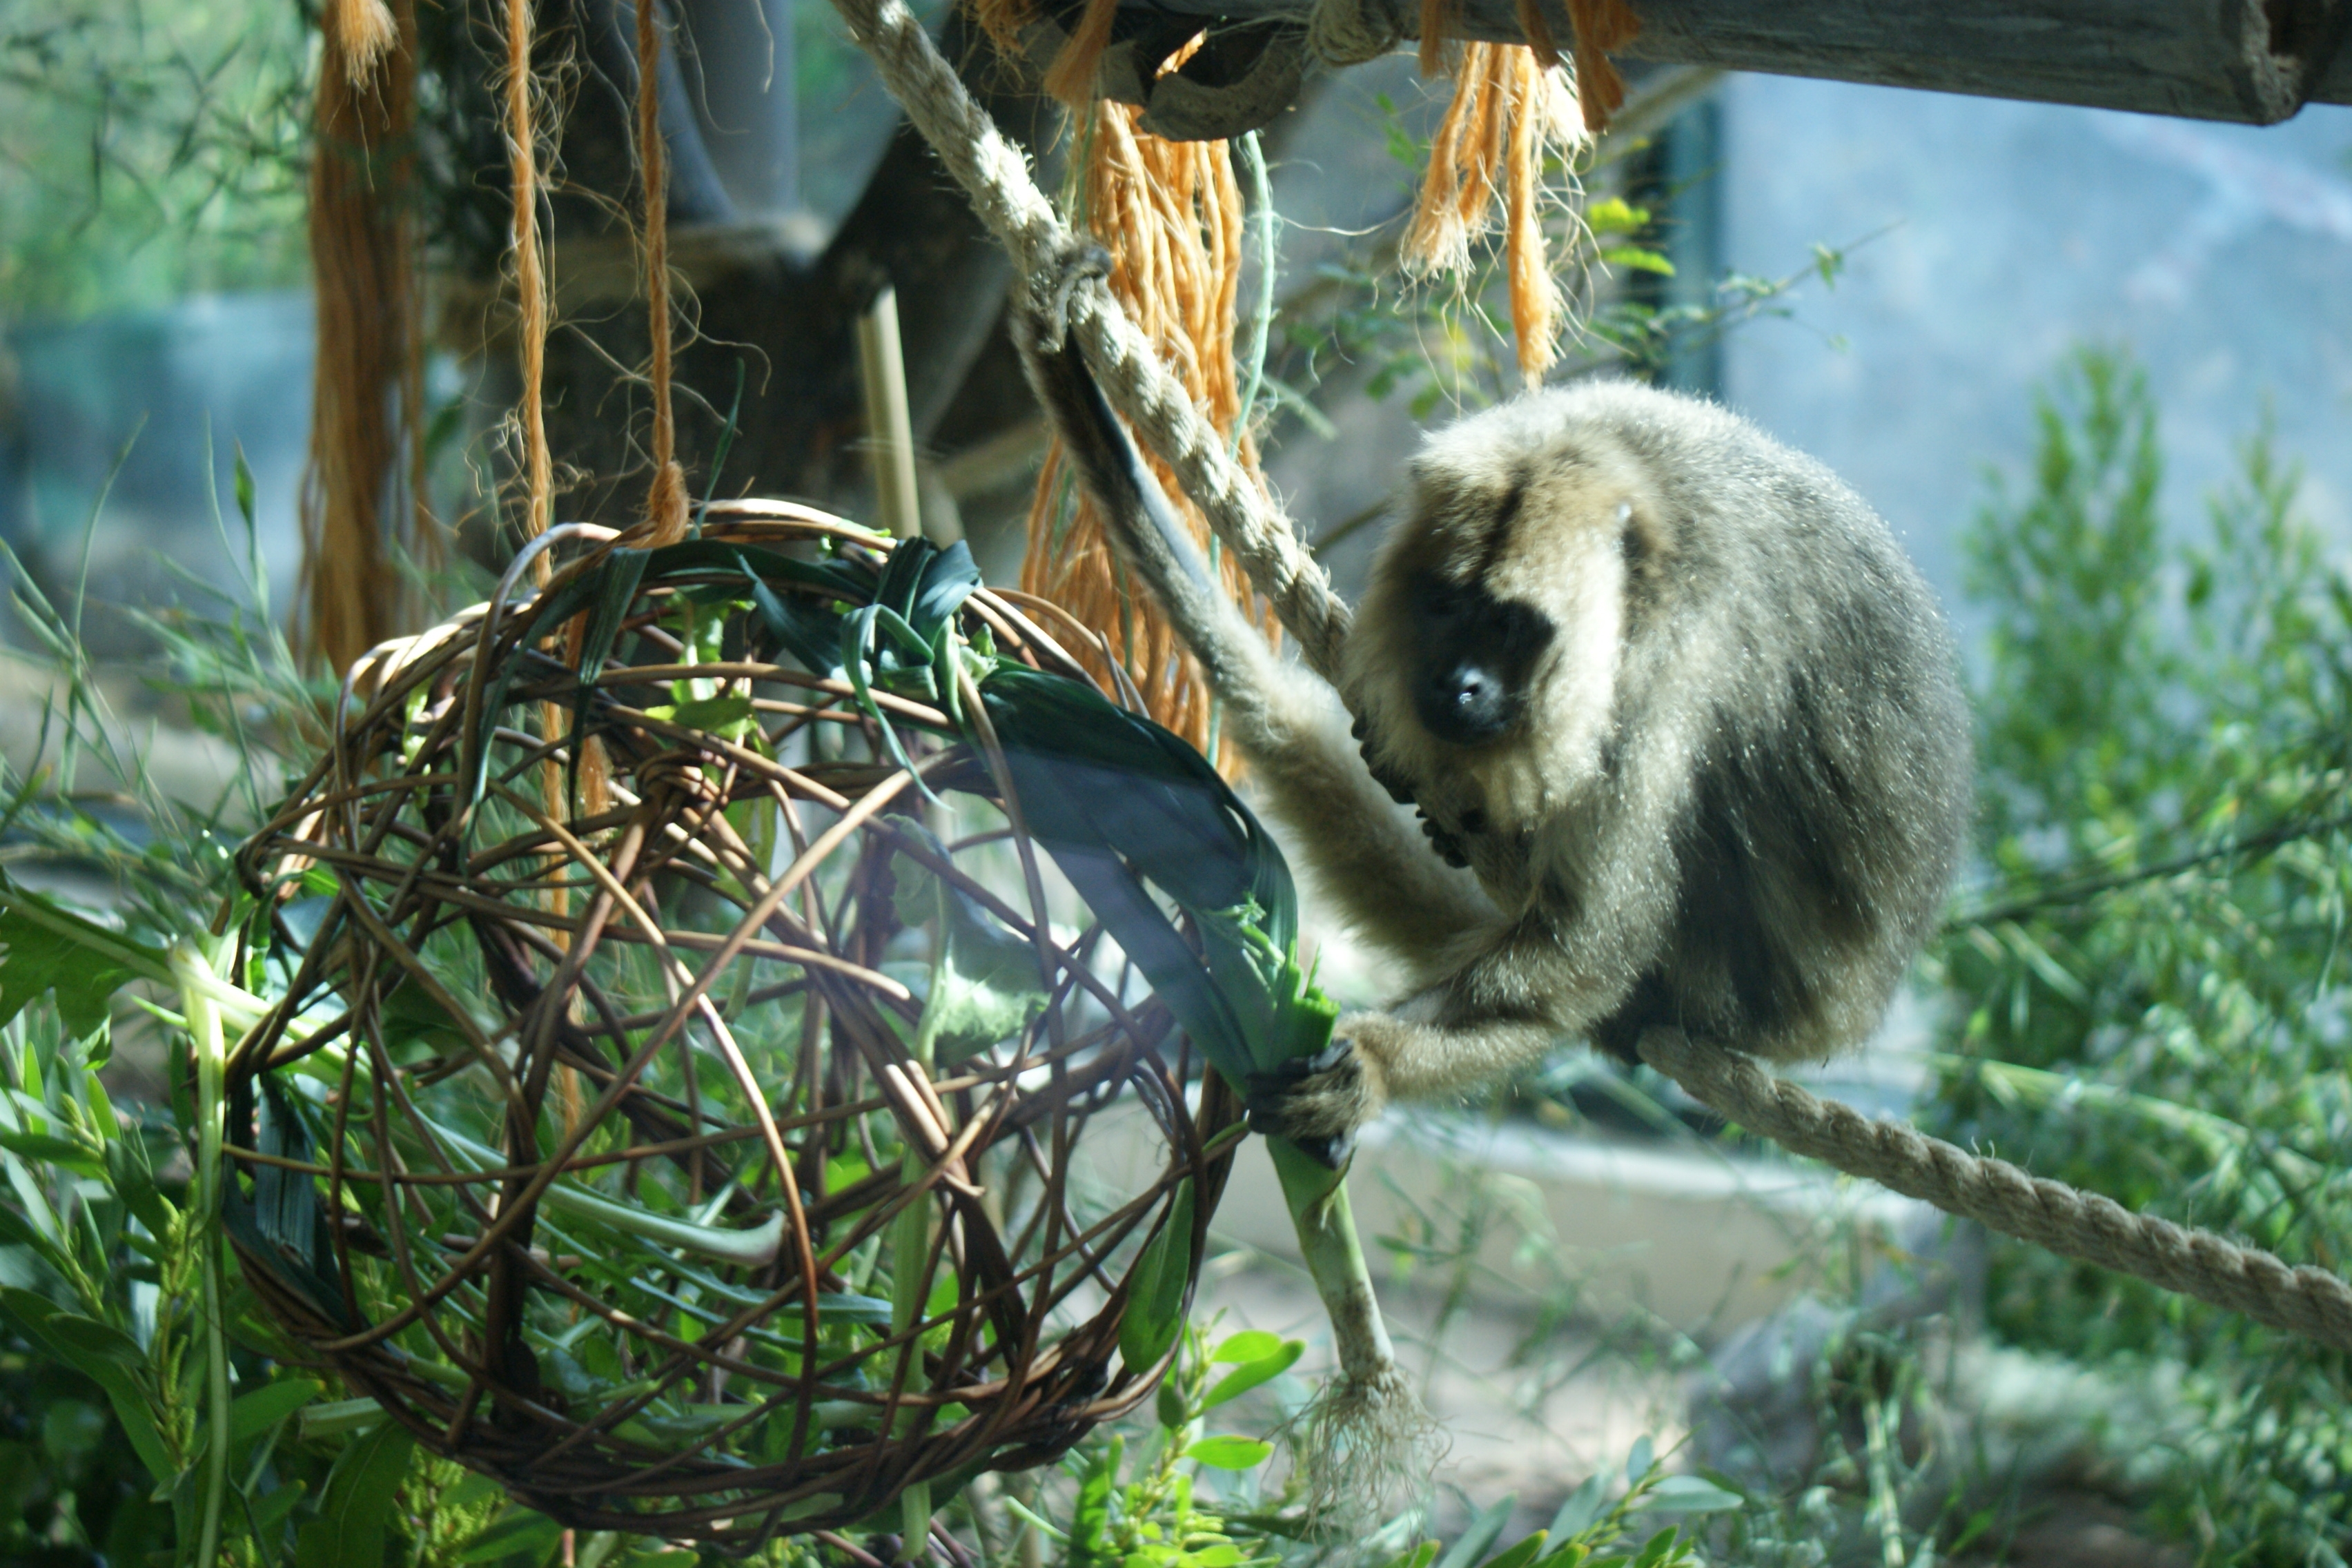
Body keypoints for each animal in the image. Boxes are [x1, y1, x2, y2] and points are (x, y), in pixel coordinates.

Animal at [1011, 263, 1973, 1168]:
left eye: (1511, 626)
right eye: (1445, 606)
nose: (1460, 686)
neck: (1627, 486)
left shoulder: (1673, 660)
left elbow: (1579, 957)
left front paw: (1373, 1064)